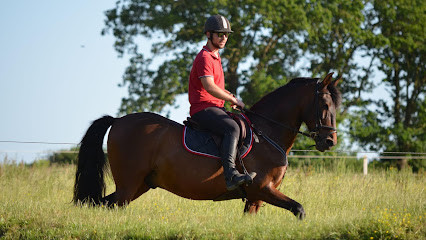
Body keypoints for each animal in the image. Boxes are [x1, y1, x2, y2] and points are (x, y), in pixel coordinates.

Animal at [72, 71, 340, 219]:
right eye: (325, 105)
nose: (329, 141)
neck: (267, 133)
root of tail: (118, 120)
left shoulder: (255, 199)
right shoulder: (262, 189)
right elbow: (299, 209)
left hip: (141, 185)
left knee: (102, 204)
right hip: (129, 185)